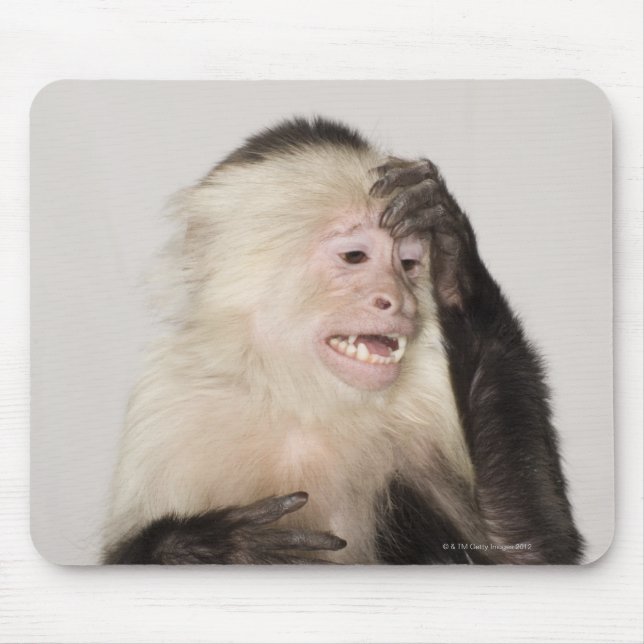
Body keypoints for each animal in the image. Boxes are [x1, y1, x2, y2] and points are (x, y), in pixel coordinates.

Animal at [103, 117, 583, 565]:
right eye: (355, 257)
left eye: (409, 263)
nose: (399, 301)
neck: (301, 397)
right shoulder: (168, 406)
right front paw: (220, 548)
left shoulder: (426, 396)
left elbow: (526, 550)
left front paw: (455, 256)